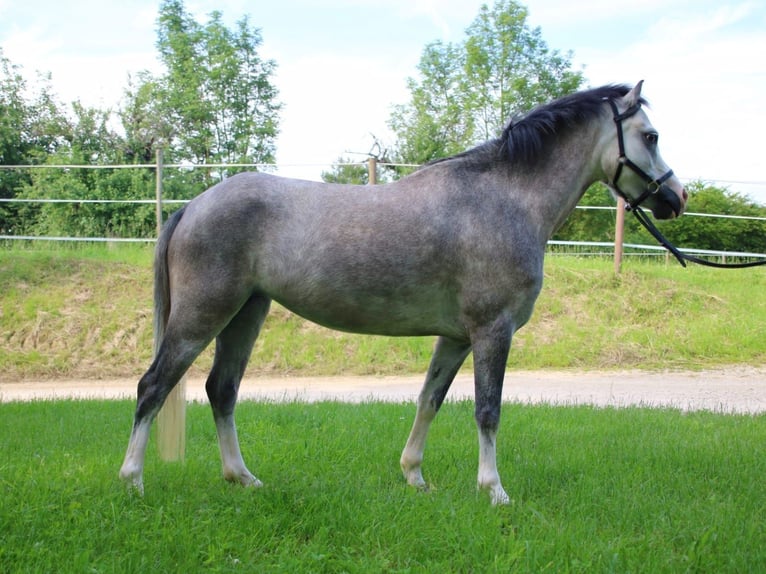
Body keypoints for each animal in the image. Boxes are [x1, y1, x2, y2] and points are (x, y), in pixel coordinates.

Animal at [120, 81, 688, 504]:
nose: (677, 197)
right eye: (651, 135)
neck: (504, 198)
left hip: (246, 313)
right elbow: (488, 410)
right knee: (153, 386)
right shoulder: (493, 330)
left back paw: (242, 478)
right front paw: (494, 491)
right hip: (203, 314)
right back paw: (133, 482)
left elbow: (430, 399)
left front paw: (414, 475)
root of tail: (193, 206)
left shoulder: (456, 337)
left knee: (222, 389)